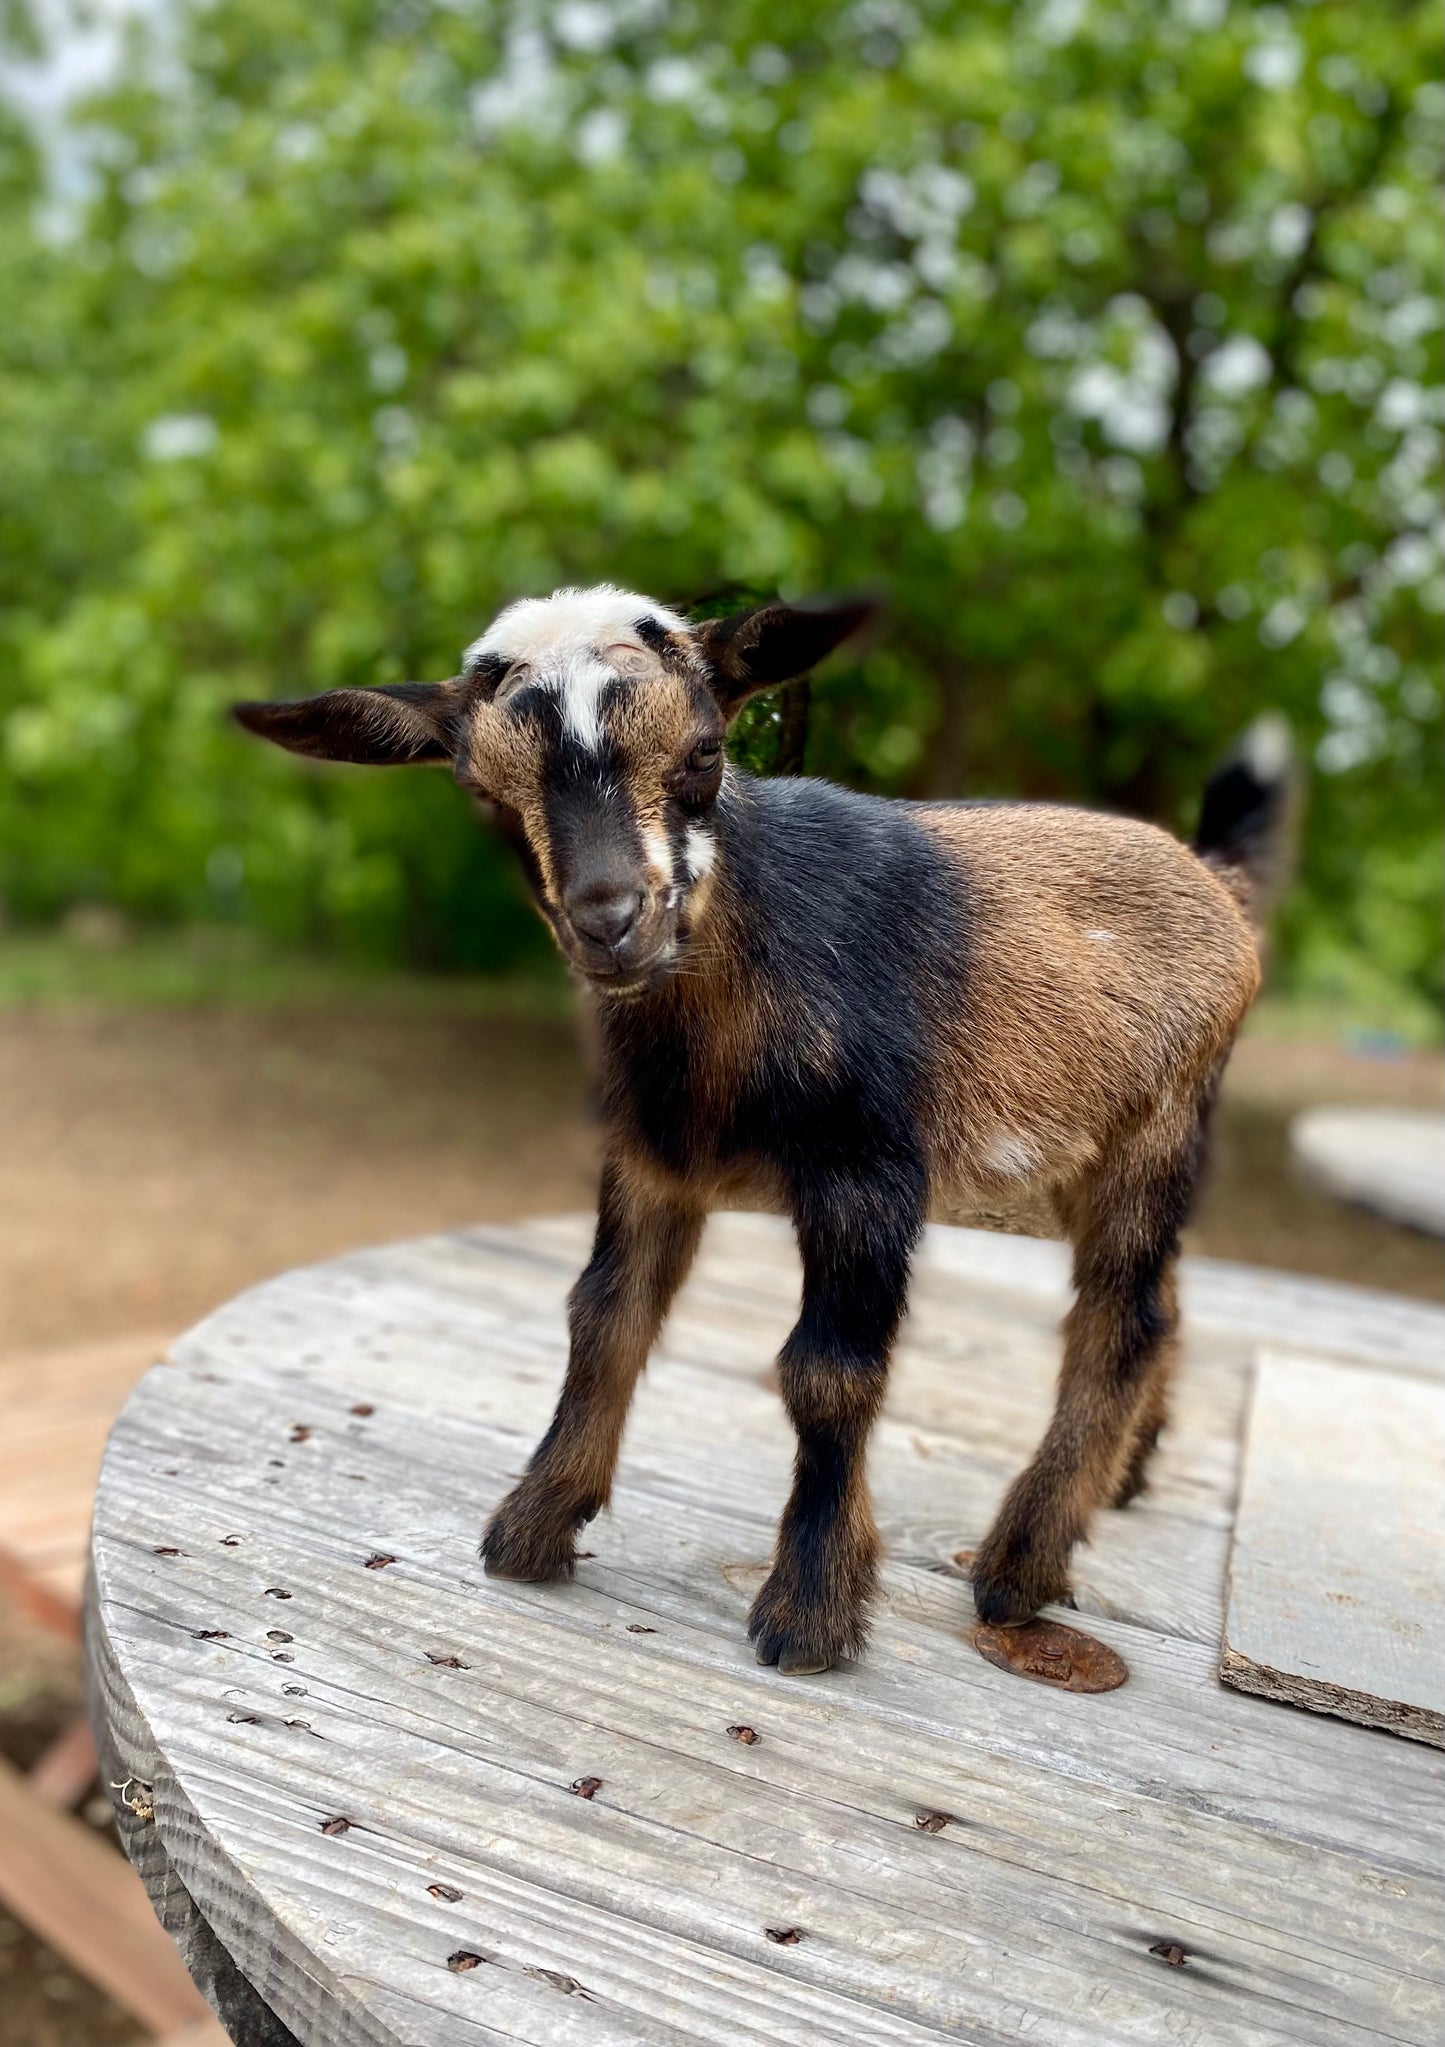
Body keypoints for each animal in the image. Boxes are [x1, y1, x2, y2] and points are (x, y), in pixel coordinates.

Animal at [236, 586, 1286, 1675]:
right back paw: (1119, 1482)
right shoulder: (650, 1161)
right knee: (1160, 1303)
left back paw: (1018, 1569)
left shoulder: (865, 1170)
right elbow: (602, 1318)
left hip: (1159, 1129)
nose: (609, 920)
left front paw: (809, 1611)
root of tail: (1217, 888)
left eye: (704, 751)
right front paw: (532, 1525)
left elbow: (827, 1374)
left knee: (1120, 1320)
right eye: (483, 794)